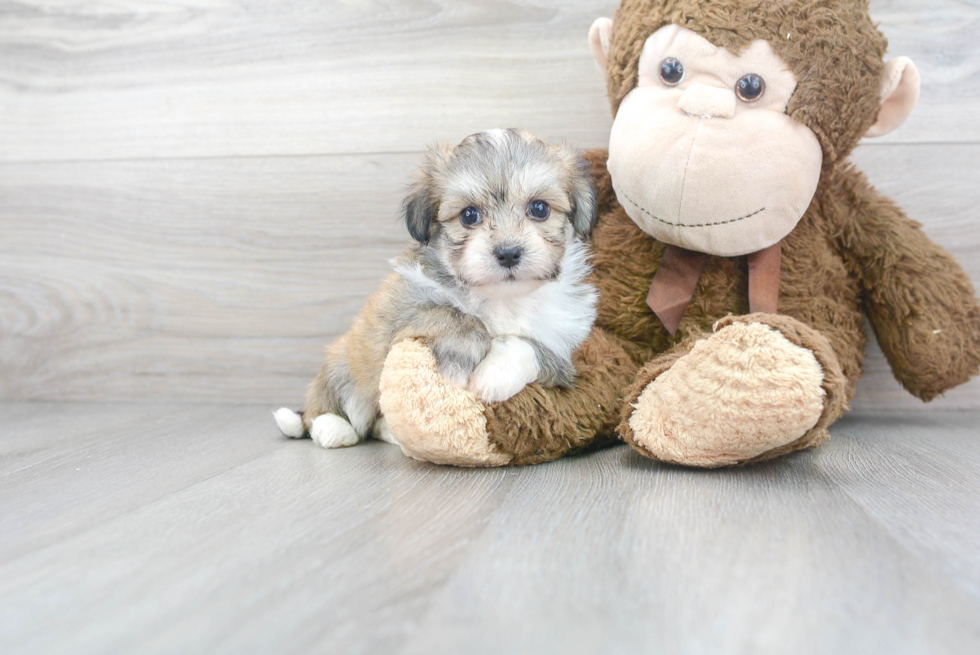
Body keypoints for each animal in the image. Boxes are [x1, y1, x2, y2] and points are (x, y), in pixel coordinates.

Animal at [276, 128, 596, 448]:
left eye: (539, 209)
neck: (502, 299)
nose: (508, 253)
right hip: (345, 362)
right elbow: (449, 311)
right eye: (469, 215)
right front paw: (463, 351)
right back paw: (331, 427)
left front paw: (495, 374)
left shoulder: (564, 348)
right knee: (331, 404)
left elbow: (532, 347)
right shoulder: (401, 307)